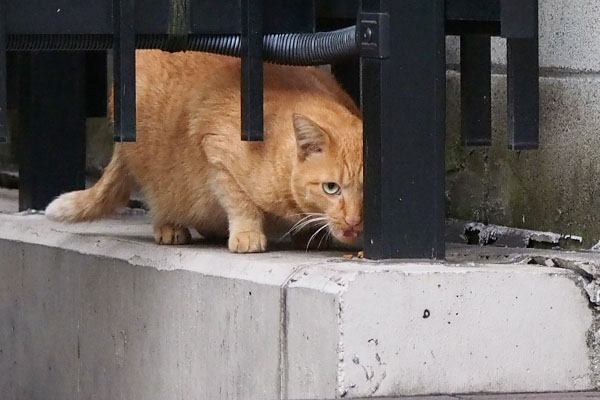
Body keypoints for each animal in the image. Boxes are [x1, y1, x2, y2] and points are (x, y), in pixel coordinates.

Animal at [44, 49, 364, 250]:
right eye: (331, 188)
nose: (354, 220)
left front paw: (311, 233)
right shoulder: (215, 152)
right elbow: (240, 202)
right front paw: (248, 234)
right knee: (158, 193)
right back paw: (169, 226)